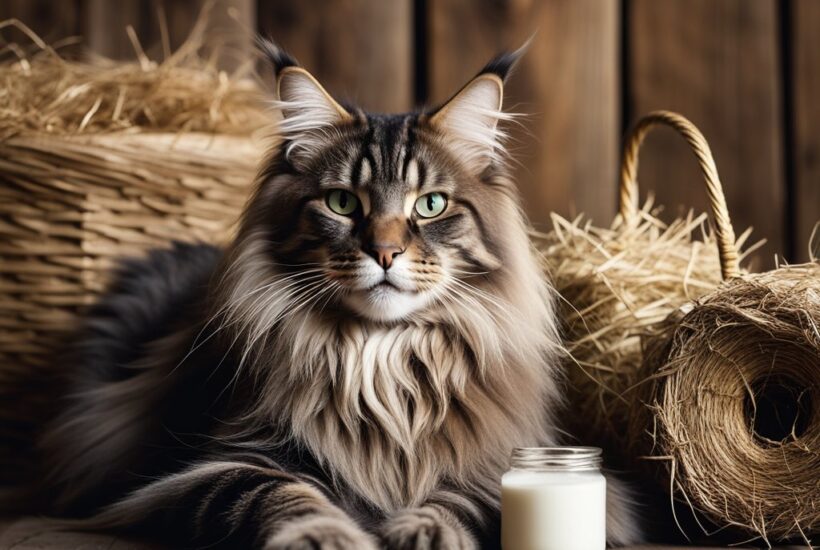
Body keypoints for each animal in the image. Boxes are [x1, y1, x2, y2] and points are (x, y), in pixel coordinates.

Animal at [28, 41, 644, 548]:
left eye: (431, 205)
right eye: (343, 203)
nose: (385, 252)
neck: (381, 359)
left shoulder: (497, 461)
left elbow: (462, 501)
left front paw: (425, 533)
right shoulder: (217, 464)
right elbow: (282, 496)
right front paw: (328, 537)